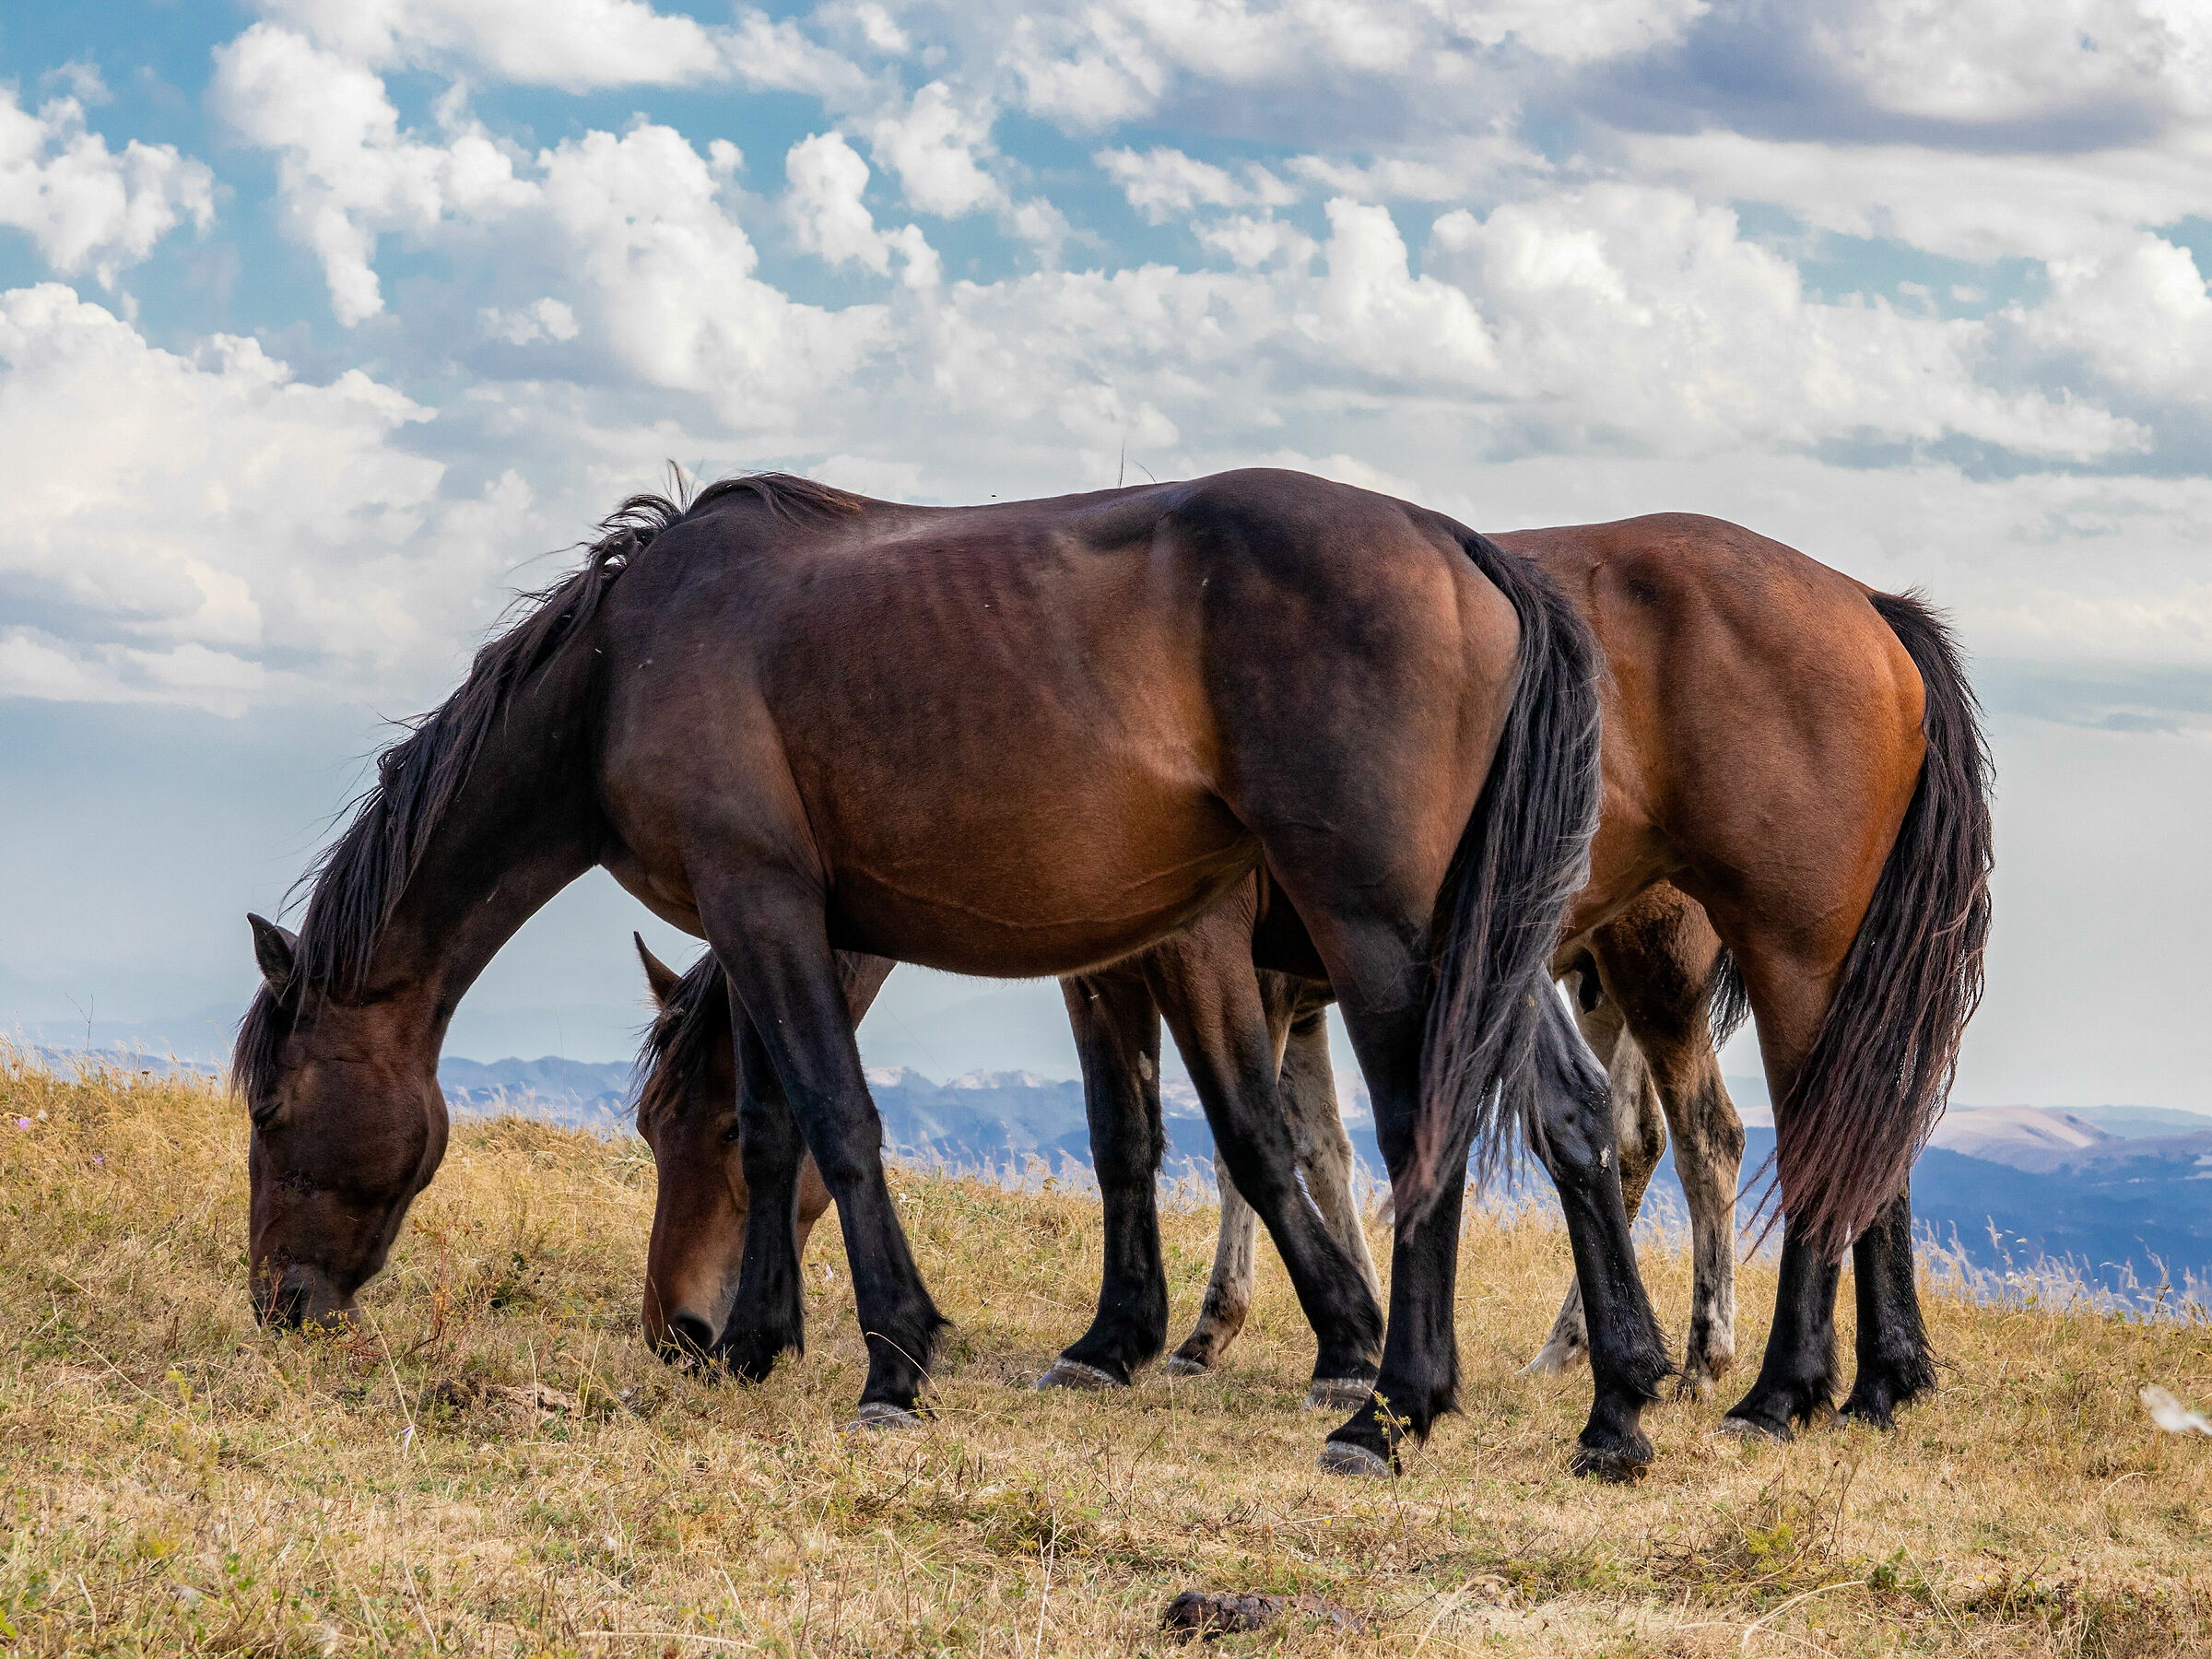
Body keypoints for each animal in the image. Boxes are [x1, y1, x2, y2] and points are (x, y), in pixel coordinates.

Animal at [232, 467, 1645, 1475]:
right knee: (1572, 1114)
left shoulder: (770, 905)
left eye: (273, 1106)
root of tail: (1464, 548)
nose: (280, 1308)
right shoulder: (763, 924)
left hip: (1386, 933)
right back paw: (1616, 1412)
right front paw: (758, 1348)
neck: (626, 659)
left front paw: (893, 1369)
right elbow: (773, 1132)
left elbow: (842, 1122)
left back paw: (1391, 1414)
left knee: (1425, 1132)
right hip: (1475, 940)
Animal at [639, 511, 1991, 1457]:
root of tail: (1869, 610)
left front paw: (1293, 1339)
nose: (678, 1330)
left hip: (1697, 963)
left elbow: (1248, 1139)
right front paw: (1210, 1335)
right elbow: (1201, 1139)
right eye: (651, 1127)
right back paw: (1869, 1380)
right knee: (1844, 1140)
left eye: (719, 1131)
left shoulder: (1207, 954)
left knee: (1730, 1138)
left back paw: (1743, 1376)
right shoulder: (1163, 973)